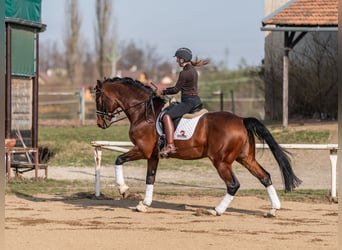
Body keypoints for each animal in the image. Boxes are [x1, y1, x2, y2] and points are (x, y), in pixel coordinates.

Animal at [95, 77, 300, 216]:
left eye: (98, 99)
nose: (100, 123)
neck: (143, 112)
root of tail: (241, 120)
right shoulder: (152, 156)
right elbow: (150, 178)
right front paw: (143, 204)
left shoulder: (142, 150)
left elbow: (118, 159)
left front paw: (123, 189)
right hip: (245, 158)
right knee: (264, 176)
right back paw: (273, 209)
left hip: (221, 162)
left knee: (233, 184)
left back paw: (216, 210)